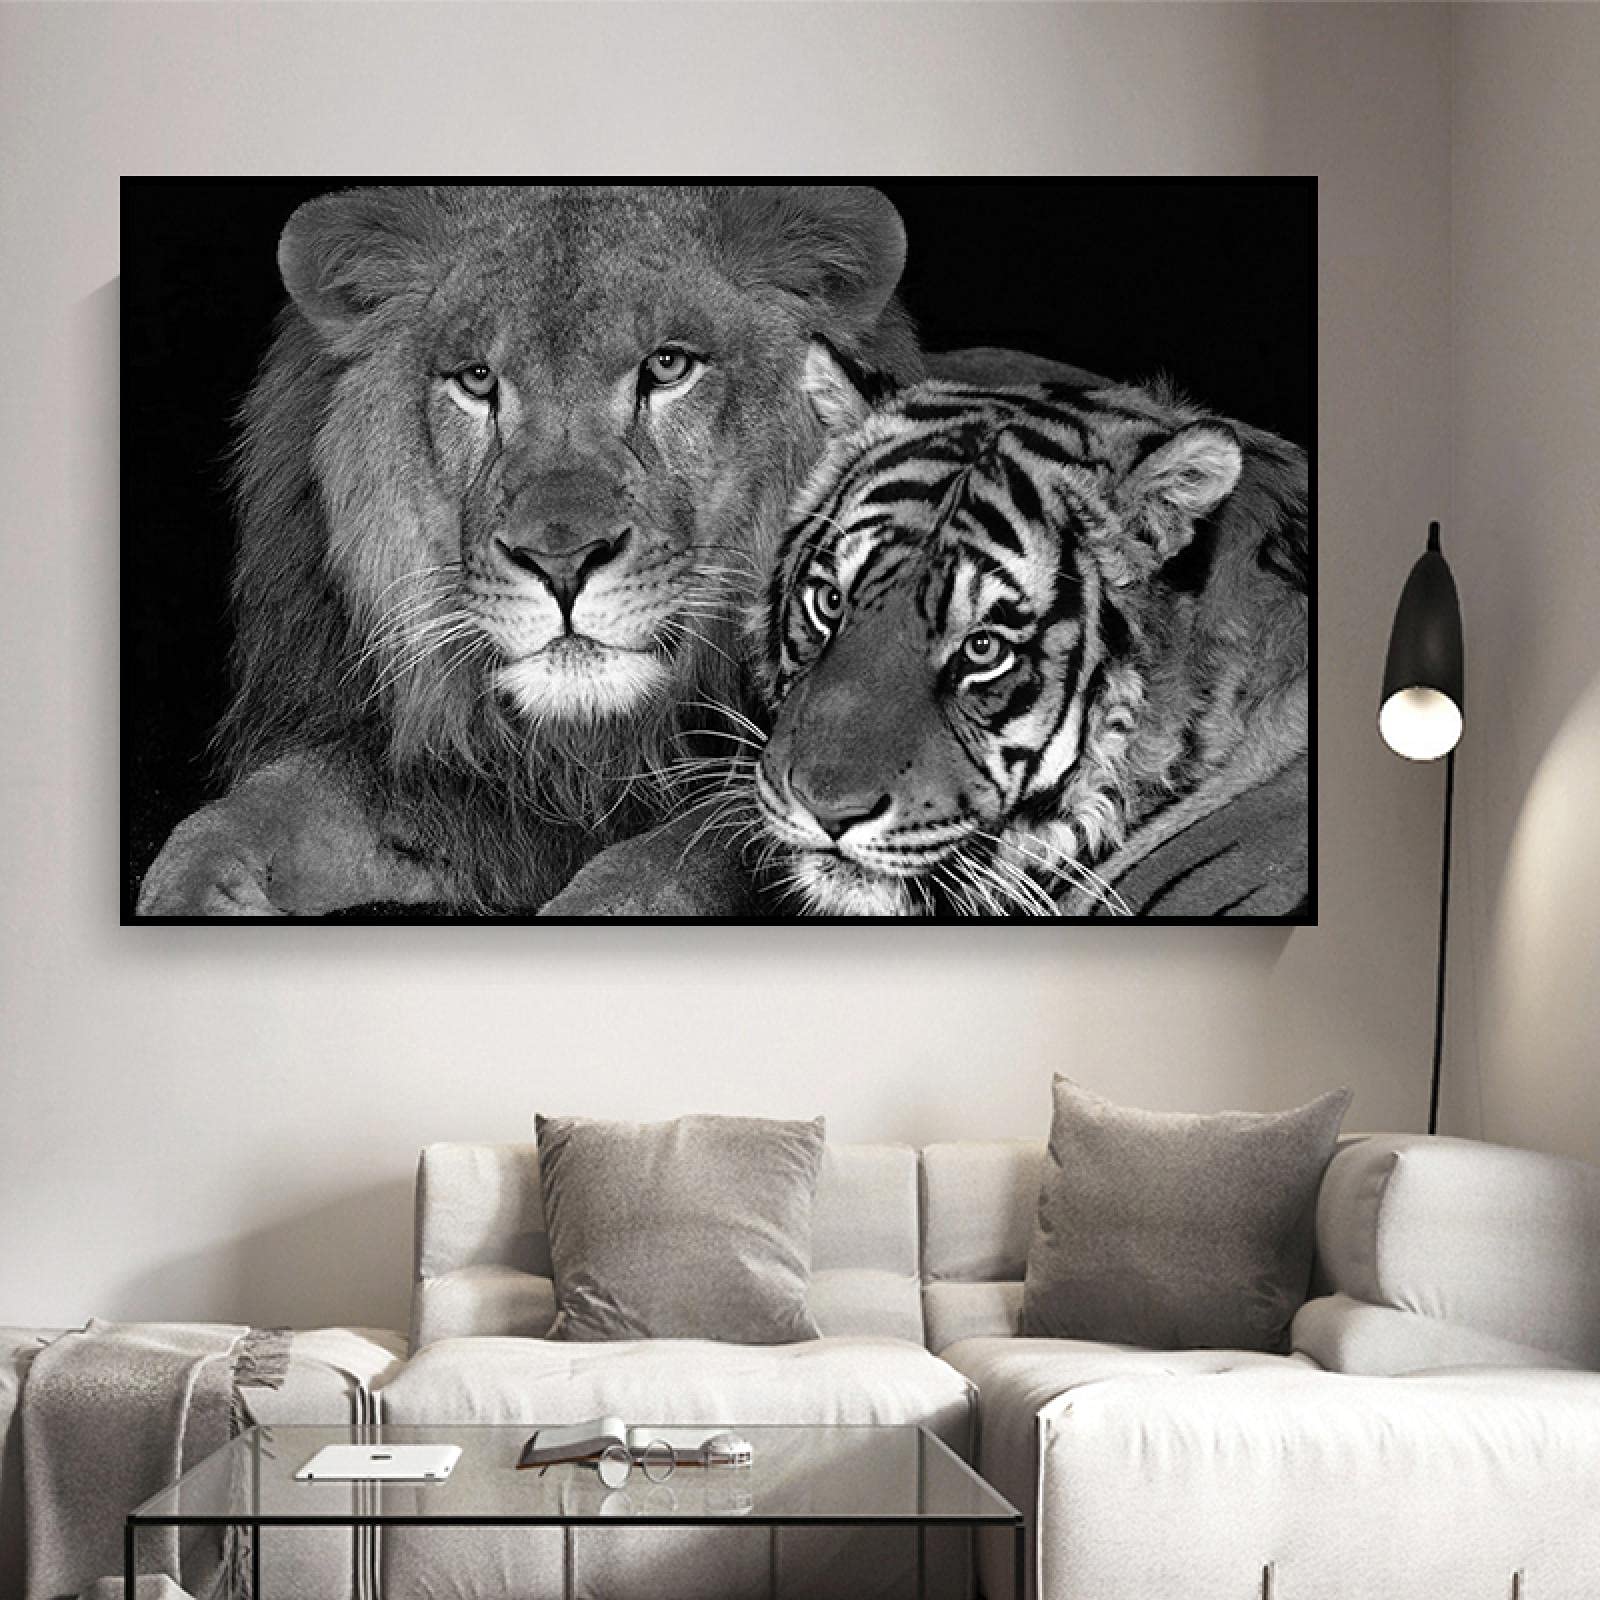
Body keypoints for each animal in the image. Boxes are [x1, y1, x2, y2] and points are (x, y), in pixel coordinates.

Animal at [135, 185, 921, 916]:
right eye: (477, 379)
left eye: (668, 366)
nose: (562, 564)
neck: (585, 751)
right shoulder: (456, 784)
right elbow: (246, 816)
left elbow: (680, 860)